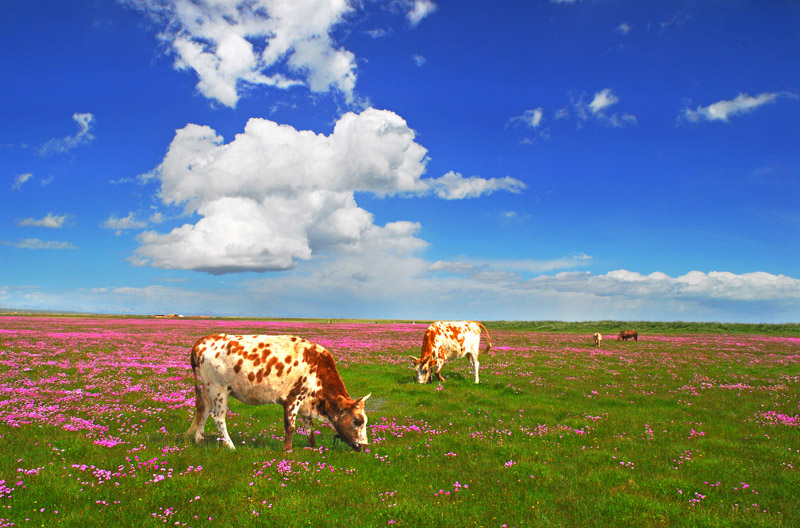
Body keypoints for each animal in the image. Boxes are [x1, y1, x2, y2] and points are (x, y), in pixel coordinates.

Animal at [188, 336, 372, 452]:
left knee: (203, 410)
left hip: (208, 389)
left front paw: (312, 446)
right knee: (218, 418)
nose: (364, 446)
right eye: (357, 421)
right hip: (218, 389)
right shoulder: (293, 397)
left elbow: (309, 425)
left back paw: (199, 439)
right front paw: (288, 450)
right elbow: (290, 426)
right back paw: (231, 445)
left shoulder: (306, 401)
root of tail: (201, 341)